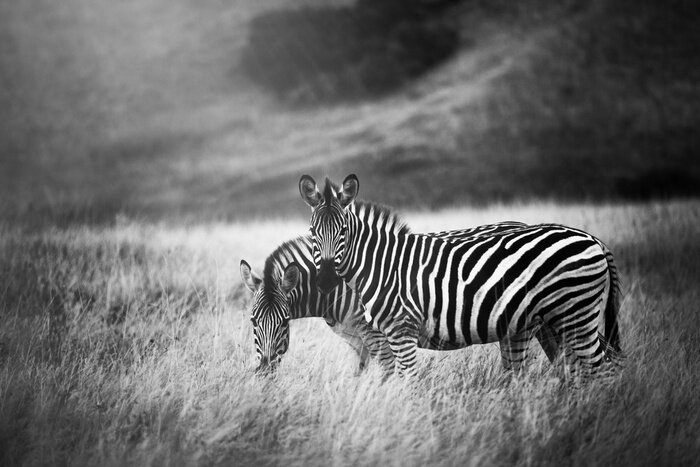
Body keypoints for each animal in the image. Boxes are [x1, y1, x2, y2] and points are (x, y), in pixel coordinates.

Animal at [241, 219, 566, 375]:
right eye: (253, 322)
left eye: (284, 322)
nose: (265, 371)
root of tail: (523, 225)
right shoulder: (358, 340)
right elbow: (359, 374)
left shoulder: (376, 333)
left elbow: (386, 372)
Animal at [299, 174, 622, 377]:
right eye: (313, 232)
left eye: (343, 231)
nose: (326, 281)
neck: (381, 266)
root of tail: (594, 239)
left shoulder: (398, 331)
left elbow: (404, 382)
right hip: (553, 320)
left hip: (576, 314)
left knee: (601, 369)